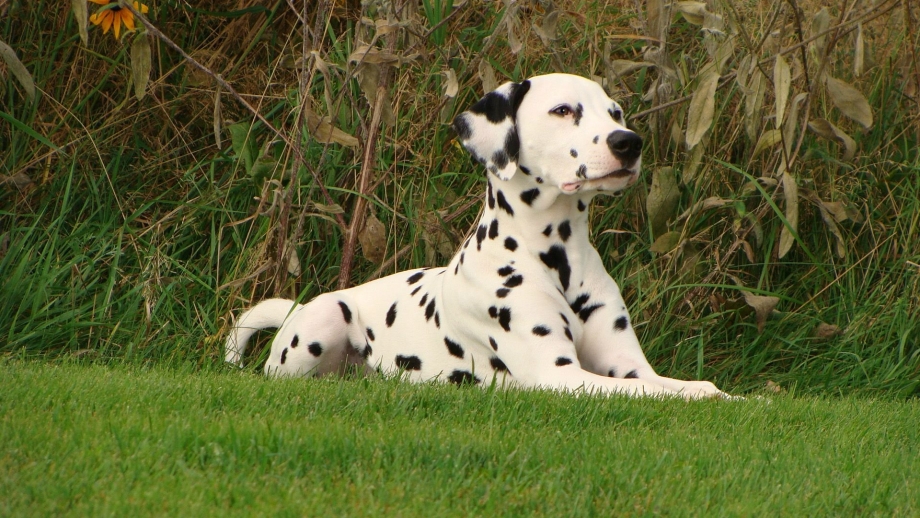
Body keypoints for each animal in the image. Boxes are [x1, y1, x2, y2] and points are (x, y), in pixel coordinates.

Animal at [230, 73, 732, 400]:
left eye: (615, 113)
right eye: (563, 110)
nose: (628, 142)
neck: (558, 257)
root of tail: (299, 306)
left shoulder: (627, 366)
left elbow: (696, 388)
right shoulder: (560, 376)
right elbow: (660, 393)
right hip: (324, 322)